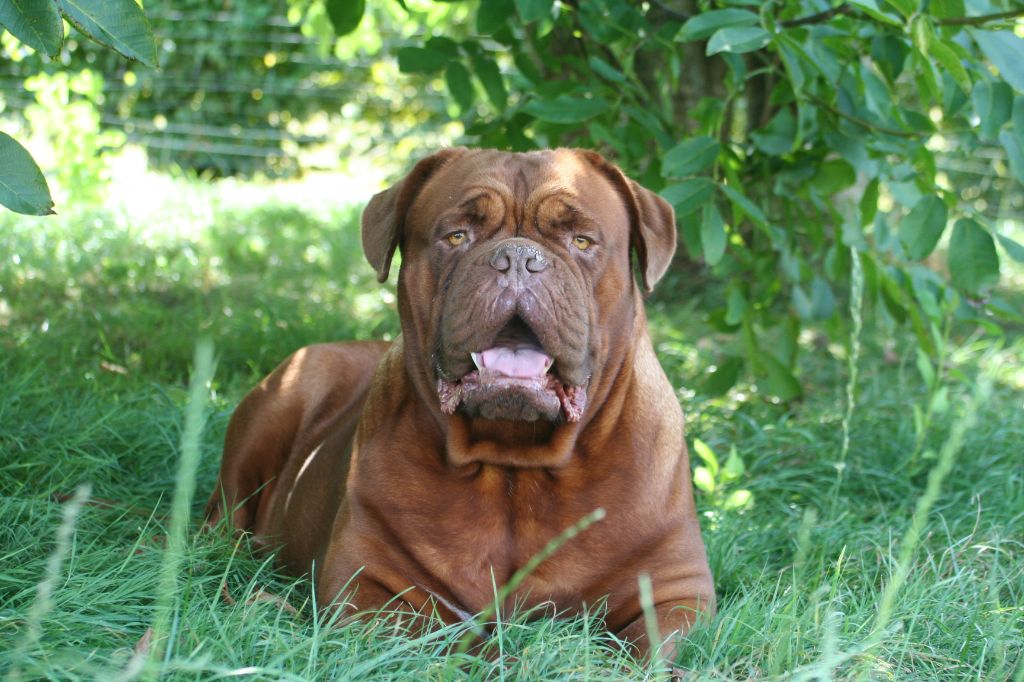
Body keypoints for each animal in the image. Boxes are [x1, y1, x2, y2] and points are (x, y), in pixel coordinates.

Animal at [206, 147, 716, 655]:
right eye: (457, 236)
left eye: (582, 241)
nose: (518, 258)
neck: (516, 465)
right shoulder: (365, 583)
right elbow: (441, 640)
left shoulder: (675, 589)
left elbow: (648, 650)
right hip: (282, 398)